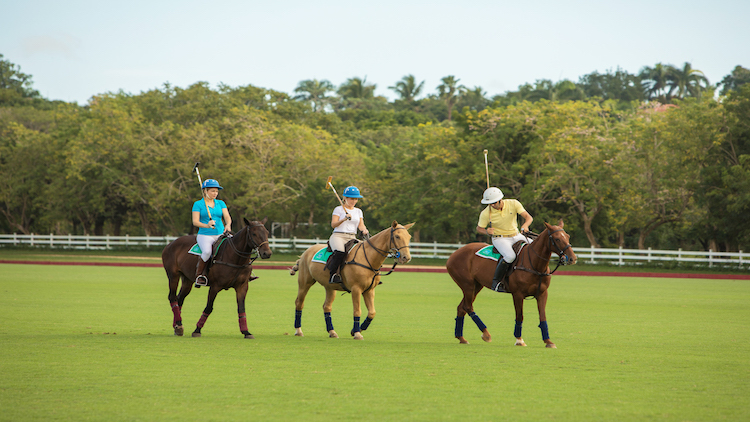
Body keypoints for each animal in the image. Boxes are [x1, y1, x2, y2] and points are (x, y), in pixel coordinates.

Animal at [290, 221, 418, 340]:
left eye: (409, 237)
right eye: (397, 236)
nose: (406, 258)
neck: (369, 258)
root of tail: (305, 252)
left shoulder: (369, 290)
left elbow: (372, 312)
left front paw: (356, 330)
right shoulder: (356, 289)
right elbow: (357, 311)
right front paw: (357, 333)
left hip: (330, 287)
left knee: (327, 307)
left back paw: (332, 332)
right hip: (305, 282)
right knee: (299, 303)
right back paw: (298, 331)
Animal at [450, 219, 580, 348]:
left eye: (567, 236)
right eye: (557, 239)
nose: (572, 258)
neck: (534, 264)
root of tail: (452, 255)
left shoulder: (542, 293)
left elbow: (543, 316)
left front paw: (548, 341)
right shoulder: (517, 294)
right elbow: (519, 316)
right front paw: (519, 340)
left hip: (476, 286)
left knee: (461, 307)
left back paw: (461, 338)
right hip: (468, 285)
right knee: (467, 306)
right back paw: (486, 334)